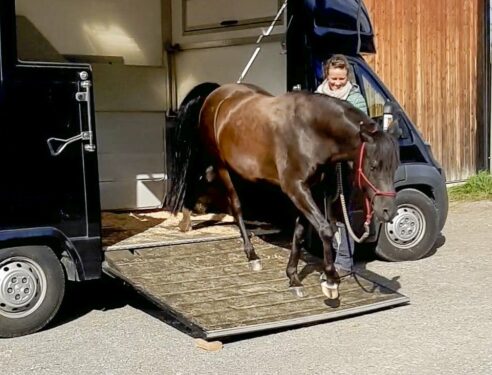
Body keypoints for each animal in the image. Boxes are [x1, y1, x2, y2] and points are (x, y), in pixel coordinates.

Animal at [165, 81, 400, 300]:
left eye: (395, 166)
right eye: (373, 166)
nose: (388, 211)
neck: (310, 132)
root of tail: (216, 93)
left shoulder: (310, 190)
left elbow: (300, 233)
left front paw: (293, 277)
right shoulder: (295, 188)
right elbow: (325, 229)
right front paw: (331, 280)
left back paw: (188, 216)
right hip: (221, 166)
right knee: (235, 205)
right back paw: (251, 255)